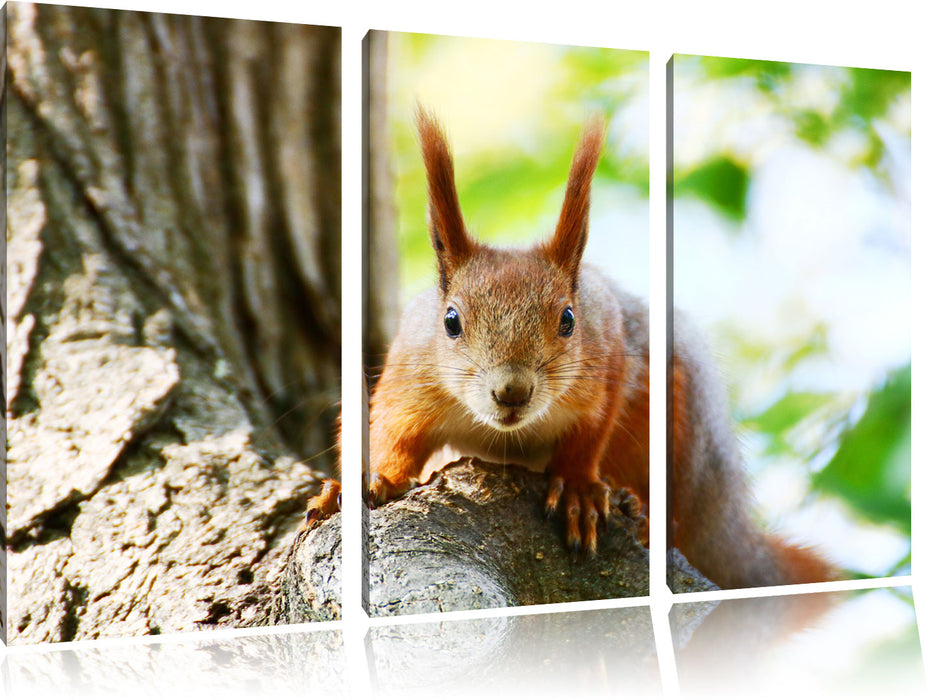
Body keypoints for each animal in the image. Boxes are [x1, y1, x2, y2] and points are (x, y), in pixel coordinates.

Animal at [306, 108, 832, 592]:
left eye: (568, 319)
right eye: (451, 321)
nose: (512, 391)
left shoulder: (609, 355)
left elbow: (591, 431)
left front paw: (578, 489)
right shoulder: (410, 377)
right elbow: (387, 432)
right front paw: (371, 481)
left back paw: (650, 519)